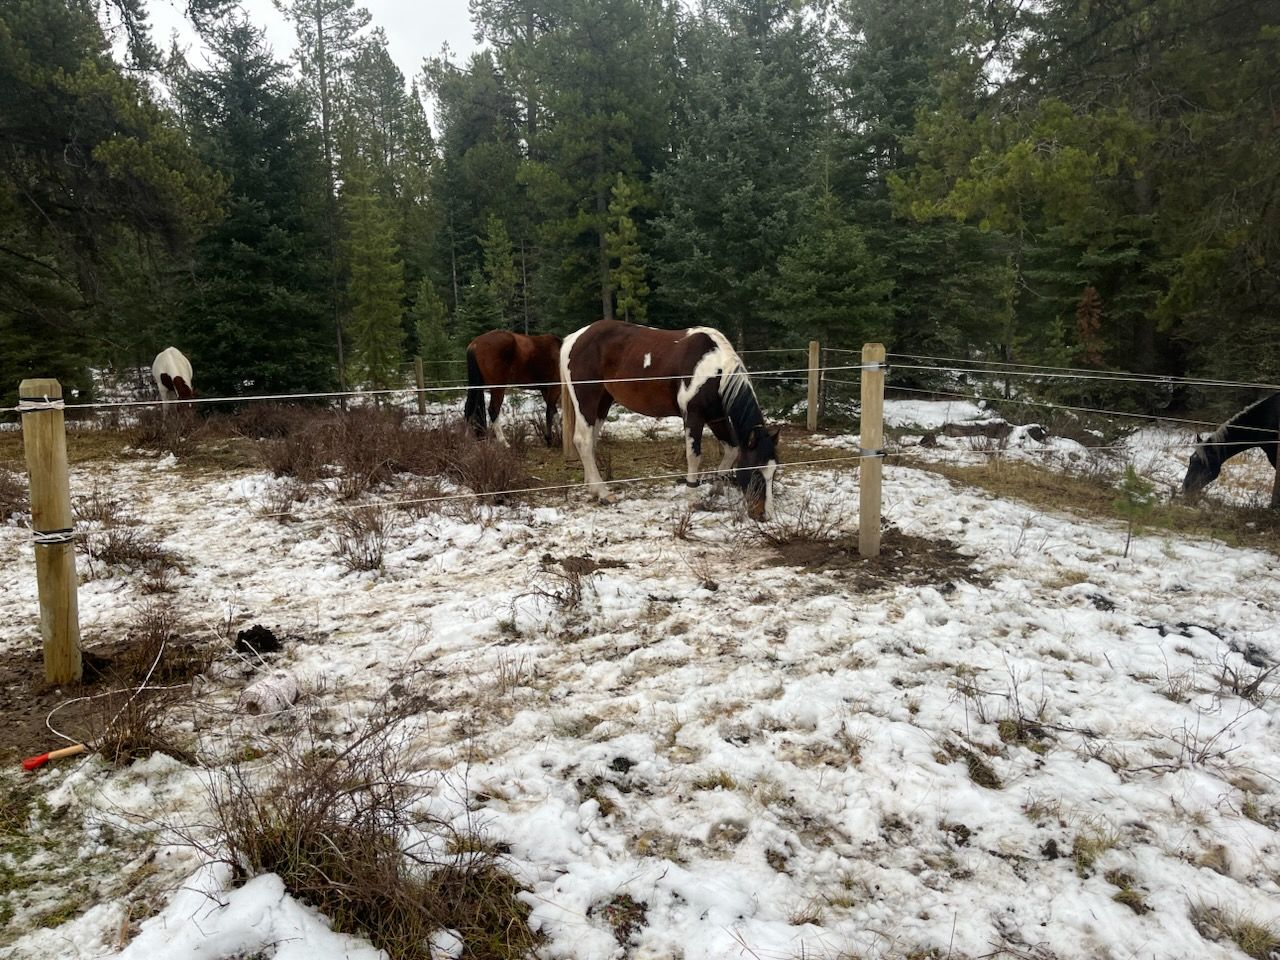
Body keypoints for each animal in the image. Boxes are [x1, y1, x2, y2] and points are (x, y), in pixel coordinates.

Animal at [560, 319, 780, 520]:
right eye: (755, 472)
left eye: (774, 473)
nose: (765, 515)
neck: (714, 369)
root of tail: (573, 338)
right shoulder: (693, 417)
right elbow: (694, 456)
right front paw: (693, 500)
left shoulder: (717, 418)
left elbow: (732, 450)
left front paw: (716, 489)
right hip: (586, 400)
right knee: (583, 441)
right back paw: (604, 493)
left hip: (603, 403)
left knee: (591, 442)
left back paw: (592, 487)